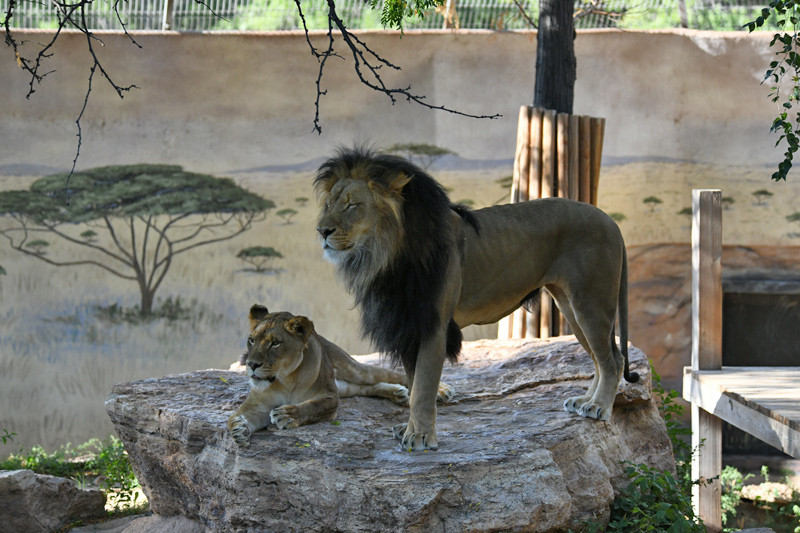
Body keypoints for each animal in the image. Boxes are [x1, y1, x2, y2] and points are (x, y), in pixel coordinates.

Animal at [227, 304, 454, 446]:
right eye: (251, 340)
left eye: (275, 343)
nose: (251, 364)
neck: (284, 379)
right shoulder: (258, 404)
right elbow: (235, 417)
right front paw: (238, 429)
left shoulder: (330, 396)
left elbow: (312, 406)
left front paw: (287, 414)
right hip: (345, 386)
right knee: (366, 388)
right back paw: (398, 394)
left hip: (353, 369)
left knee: (390, 374)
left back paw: (440, 390)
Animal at [314, 146, 639, 451]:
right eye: (329, 204)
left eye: (352, 205)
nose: (321, 230)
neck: (384, 256)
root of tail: (610, 220)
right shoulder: (410, 324)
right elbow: (413, 380)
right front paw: (409, 429)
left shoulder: (433, 325)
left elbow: (422, 387)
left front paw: (420, 436)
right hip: (570, 305)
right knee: (601, 358)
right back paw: (585, 400)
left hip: (590, 303)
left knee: (612, 360)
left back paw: (599, 406)